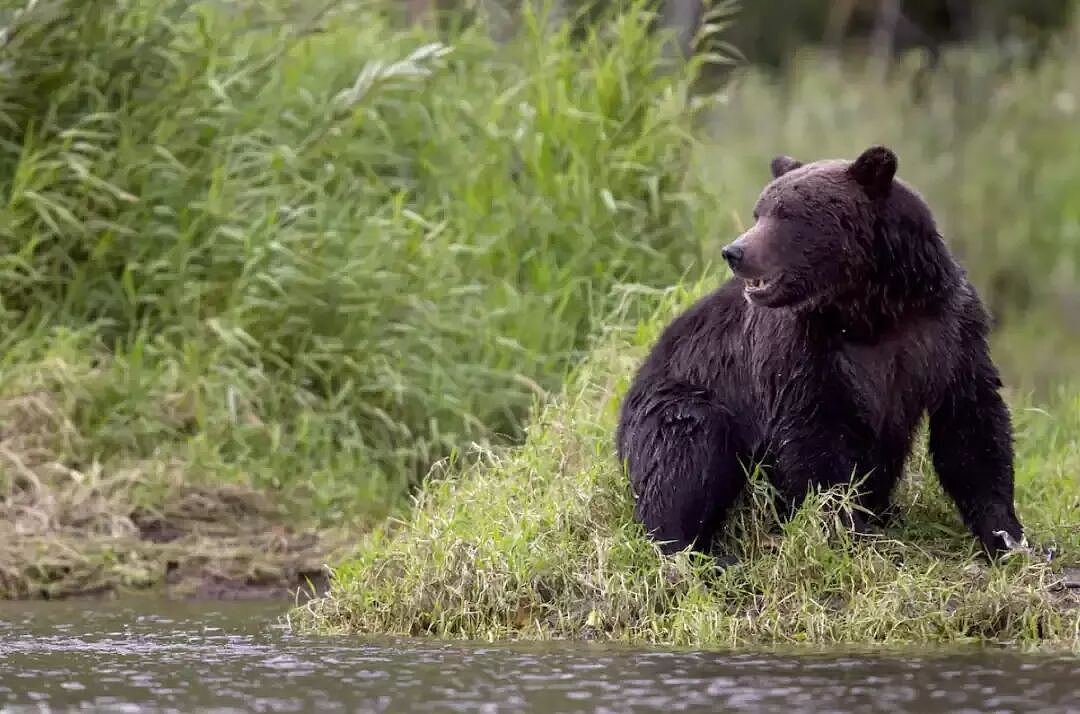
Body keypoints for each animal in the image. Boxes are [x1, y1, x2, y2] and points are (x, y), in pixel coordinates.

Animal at [615, 145, 1026, 560]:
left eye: (786, 214)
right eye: (759, 211)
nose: (735, 251)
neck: (870, 309)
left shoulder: (946, 330)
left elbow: (971, 425)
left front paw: (1008, 536)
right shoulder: (802, 349)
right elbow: (813, 439)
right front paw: (847, 529)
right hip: (676, 399)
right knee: (686, 449)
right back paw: (696, 550)